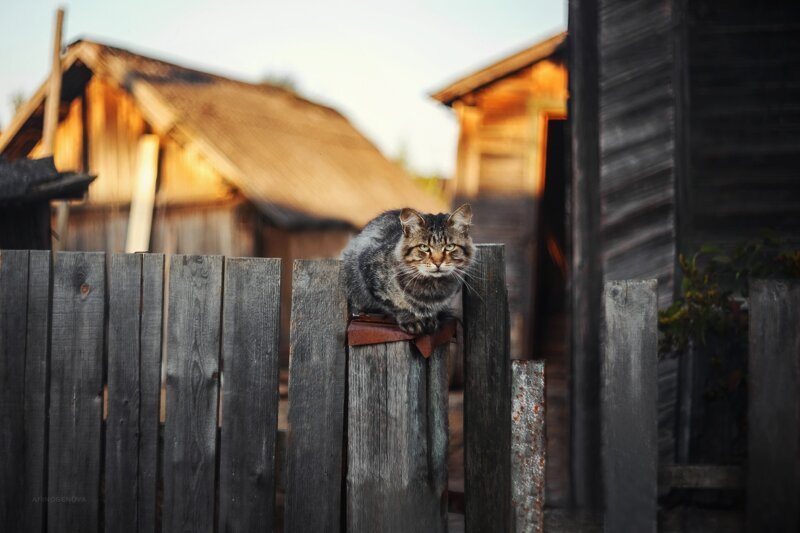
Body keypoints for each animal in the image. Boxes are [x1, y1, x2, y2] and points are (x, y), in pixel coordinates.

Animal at [344, 204, 476, 332]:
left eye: (449, 247)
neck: (431, 288)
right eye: (424, 247)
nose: (438, 263)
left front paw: (430, 318)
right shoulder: (371, 275)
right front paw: (411, 320)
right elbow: (397, 306)